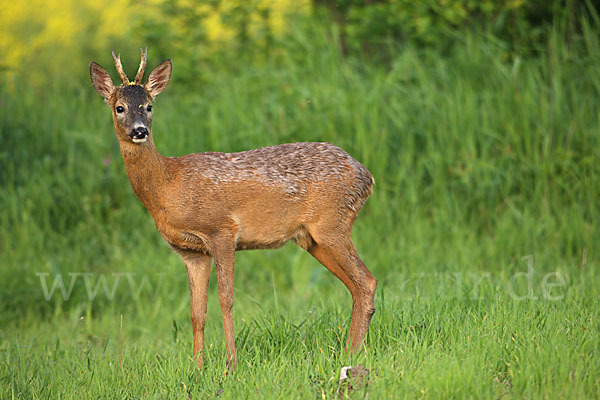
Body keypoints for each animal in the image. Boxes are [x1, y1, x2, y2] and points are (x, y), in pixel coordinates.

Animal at [90, 48, 376, 370]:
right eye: (120, 107)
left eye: (149, 106)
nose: (139, 131)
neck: (169, 185)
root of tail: (366, 176)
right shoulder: (191, 252)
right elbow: (196, 311)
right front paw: (197, 367)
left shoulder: (221, 231)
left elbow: (225, 299)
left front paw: (231, 364)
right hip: (312, 239)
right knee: (356, 285)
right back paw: (350, 351)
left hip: (332, 224)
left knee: (366, 281)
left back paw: (351, 354)